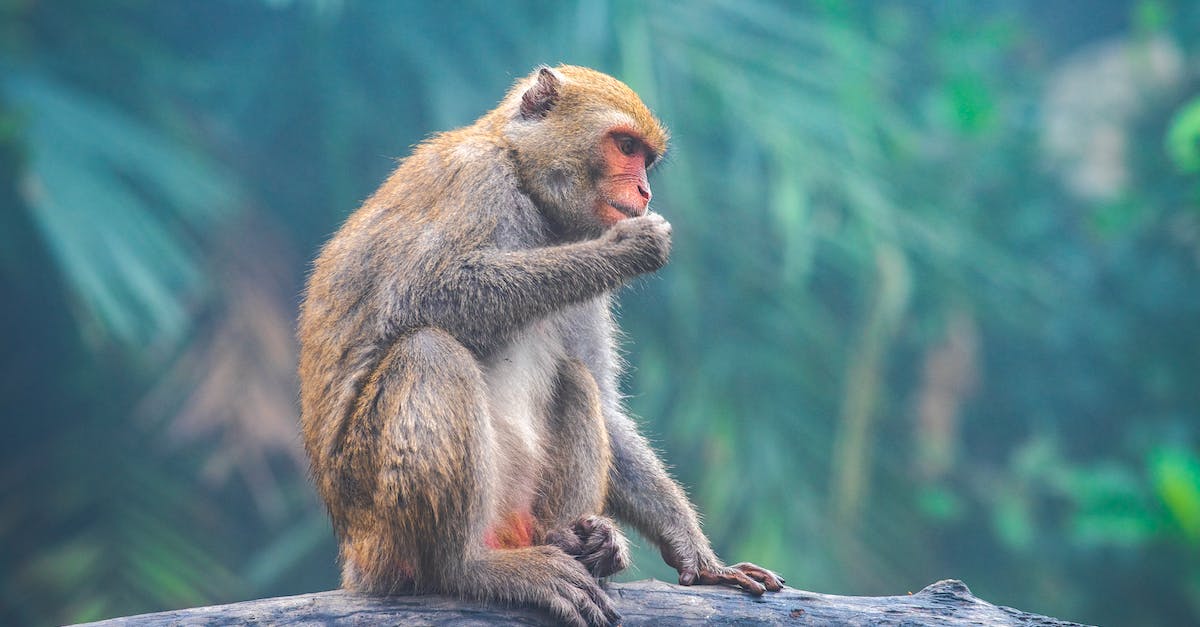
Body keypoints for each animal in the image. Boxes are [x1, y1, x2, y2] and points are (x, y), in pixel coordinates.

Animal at [298, 65, 783, 627]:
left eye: (645, 159)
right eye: (625, 147)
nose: (643, 191)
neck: (527, 184)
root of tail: (354, 553)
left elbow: (605, 403)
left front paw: (697, 555)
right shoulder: (476, 180)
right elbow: (424, 293)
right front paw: (624, 250)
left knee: (573, 379)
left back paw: (576, 543)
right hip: (379, 526)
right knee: (429, 351)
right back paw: (466, 568)